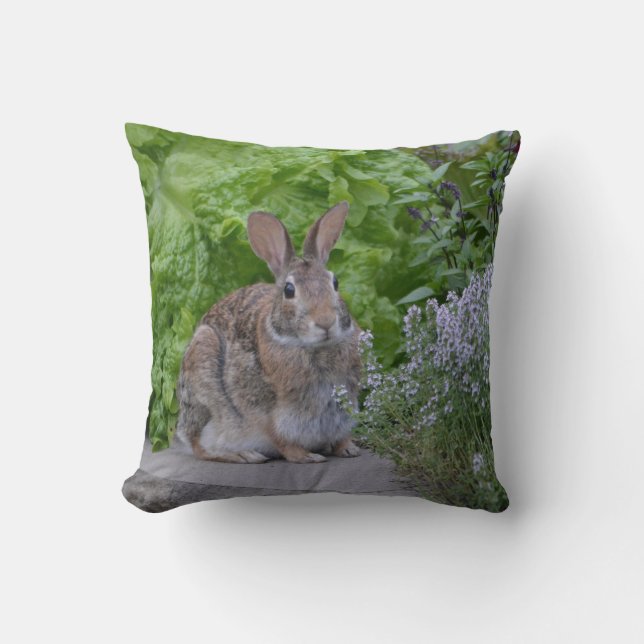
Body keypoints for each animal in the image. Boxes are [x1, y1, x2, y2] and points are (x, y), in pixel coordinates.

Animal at [174, 201, 362, 464]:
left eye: (335, 283)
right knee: (198, 445)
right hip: (203, 375)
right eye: (289, 290)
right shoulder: (266, 412)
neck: (314, 347)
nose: (325, 321)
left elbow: (342, 434)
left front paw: (348, 448)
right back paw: (243, 454)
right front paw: (306, 456)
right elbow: (280, 438)